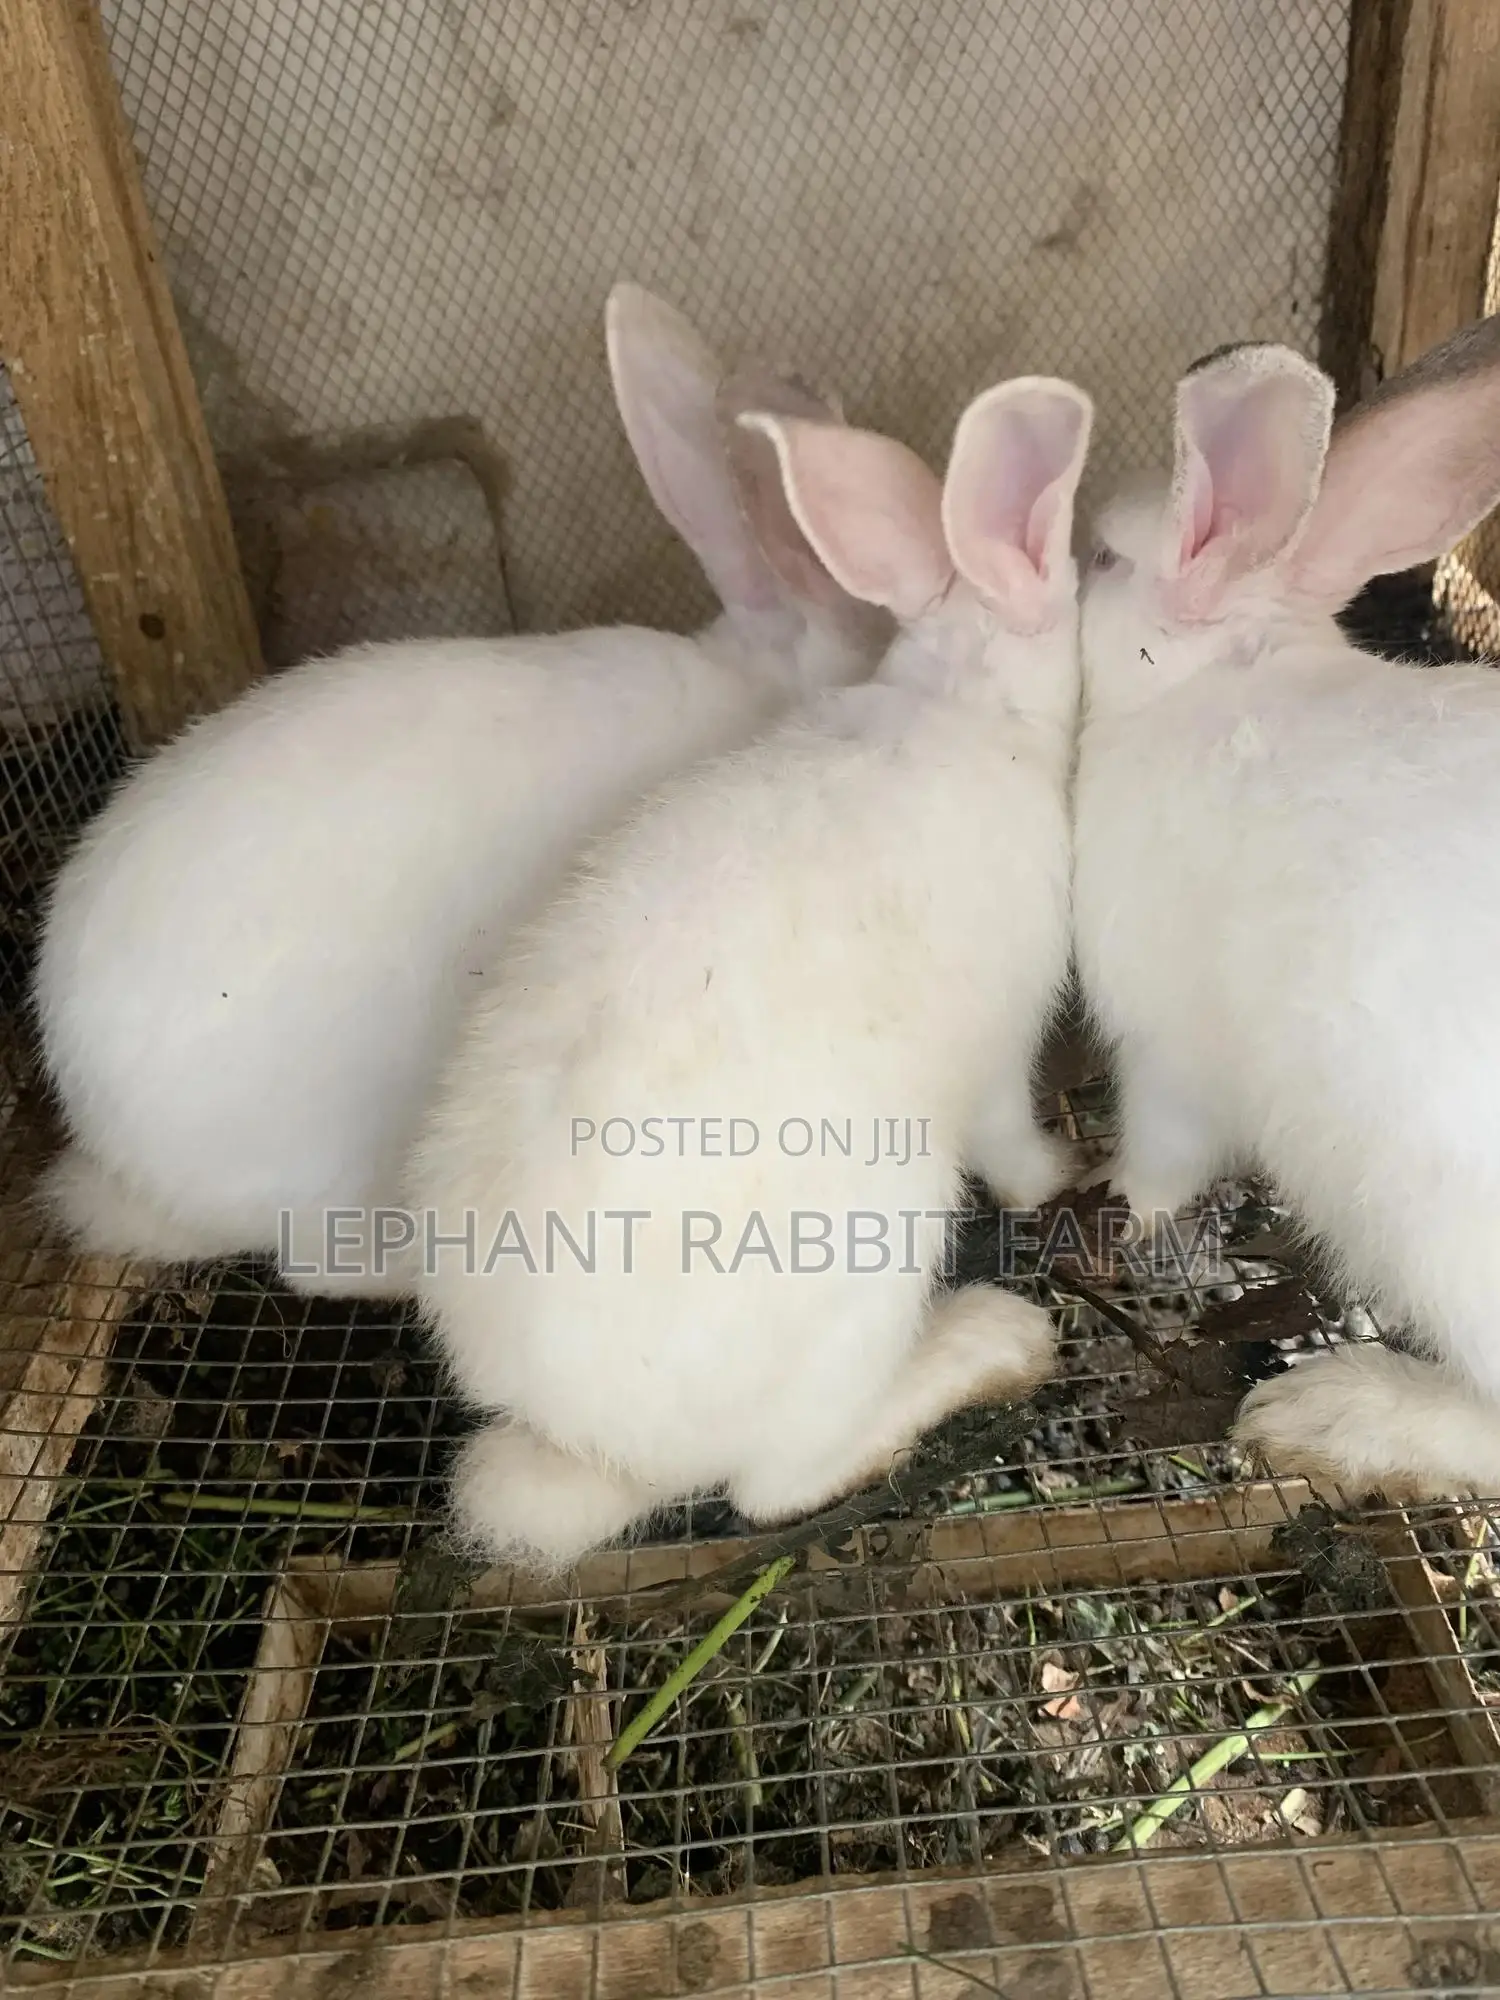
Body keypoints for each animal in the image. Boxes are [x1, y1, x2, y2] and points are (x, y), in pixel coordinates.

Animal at [402, 372, 1095, 1572]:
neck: (961, 699)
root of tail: (592, 1447)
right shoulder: (1002, 1053)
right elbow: (1011, 1140)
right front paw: (1055, 1175)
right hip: (880, 1246)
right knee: (776, 1485)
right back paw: (989, 1346)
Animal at [1073, 310, 1500, 1500]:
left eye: (1104, 558)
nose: (1068, 560)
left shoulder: (1165, 1050)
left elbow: (1162, 1156)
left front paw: (1118, 1194)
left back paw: (1337, 1411)